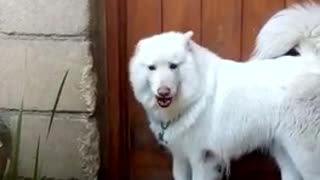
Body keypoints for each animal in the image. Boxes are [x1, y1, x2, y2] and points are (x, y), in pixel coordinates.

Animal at [129, 2, 320, 180]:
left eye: (173, 66)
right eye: (152, 68)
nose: (163, 92)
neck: (195, 95)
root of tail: (311, 60)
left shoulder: (202, 158)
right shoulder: (180, 157)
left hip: (304, 154)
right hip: (286, 152)